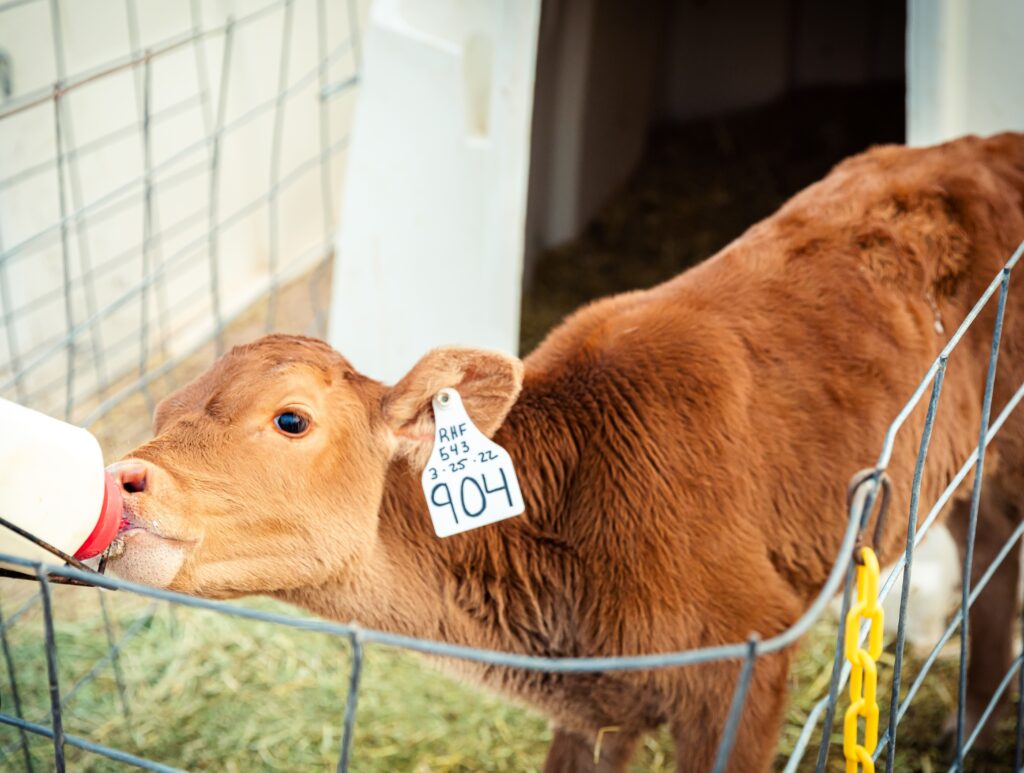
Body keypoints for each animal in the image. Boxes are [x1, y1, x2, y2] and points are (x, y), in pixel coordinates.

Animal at [105, 133, 1024, 769]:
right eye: (164, 405)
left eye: (291, 419)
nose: (123, 477)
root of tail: (984, 144)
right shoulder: (598, 705)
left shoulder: (747, 665)